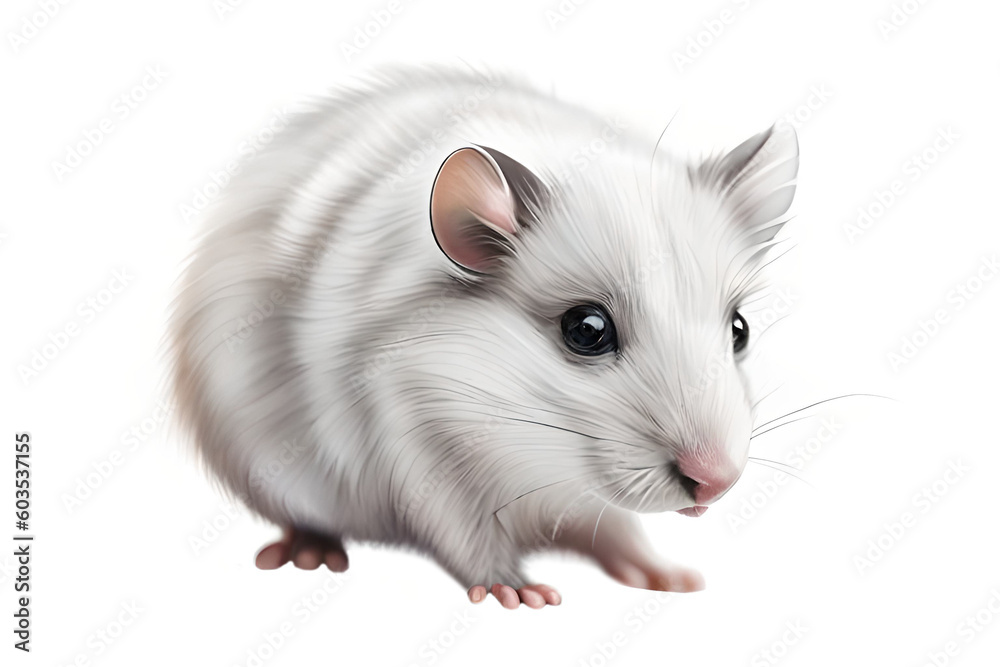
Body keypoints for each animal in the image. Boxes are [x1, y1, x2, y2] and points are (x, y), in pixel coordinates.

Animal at [168, 66, 798, 609]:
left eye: (739, 329)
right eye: (586, 329)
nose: (715, 483)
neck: (535, 459)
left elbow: (616, 527)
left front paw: (665, 572)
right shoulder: (404, 422)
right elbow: (457, 523)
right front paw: (516, 590)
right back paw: (310, 547)